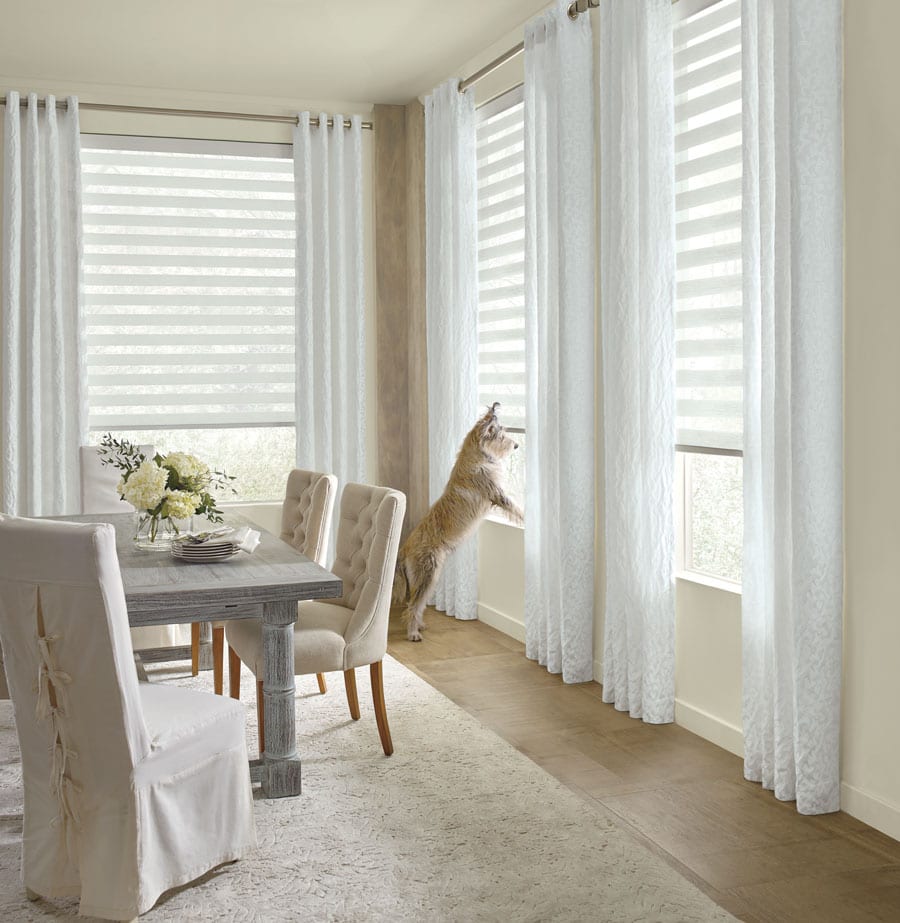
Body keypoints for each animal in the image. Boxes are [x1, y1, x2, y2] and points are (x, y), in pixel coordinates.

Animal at [396, 404, 528, 644]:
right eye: (501, 435)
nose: (516, 445)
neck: (476, 455)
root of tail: (404, 549)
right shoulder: (497, 493)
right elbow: (515, 508)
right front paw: (527, 518)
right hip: (427, 574)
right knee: (412, 606)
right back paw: (412, 633)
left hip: (430, 577)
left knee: (418, 605)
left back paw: (419, 625)